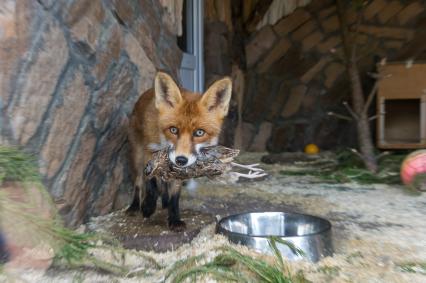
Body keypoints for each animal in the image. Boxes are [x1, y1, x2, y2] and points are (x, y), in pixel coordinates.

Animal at [127, 72, 231, 232]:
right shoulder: (148, 152)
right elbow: (151, 182)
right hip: (137, 155)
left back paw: (164, 203)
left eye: (199, 132)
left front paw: (174, 219)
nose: (181, 160)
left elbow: (174, 195)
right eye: (173, 130)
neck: (163, 141)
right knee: (139, 181)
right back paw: (134, 206)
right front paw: (148, 206)